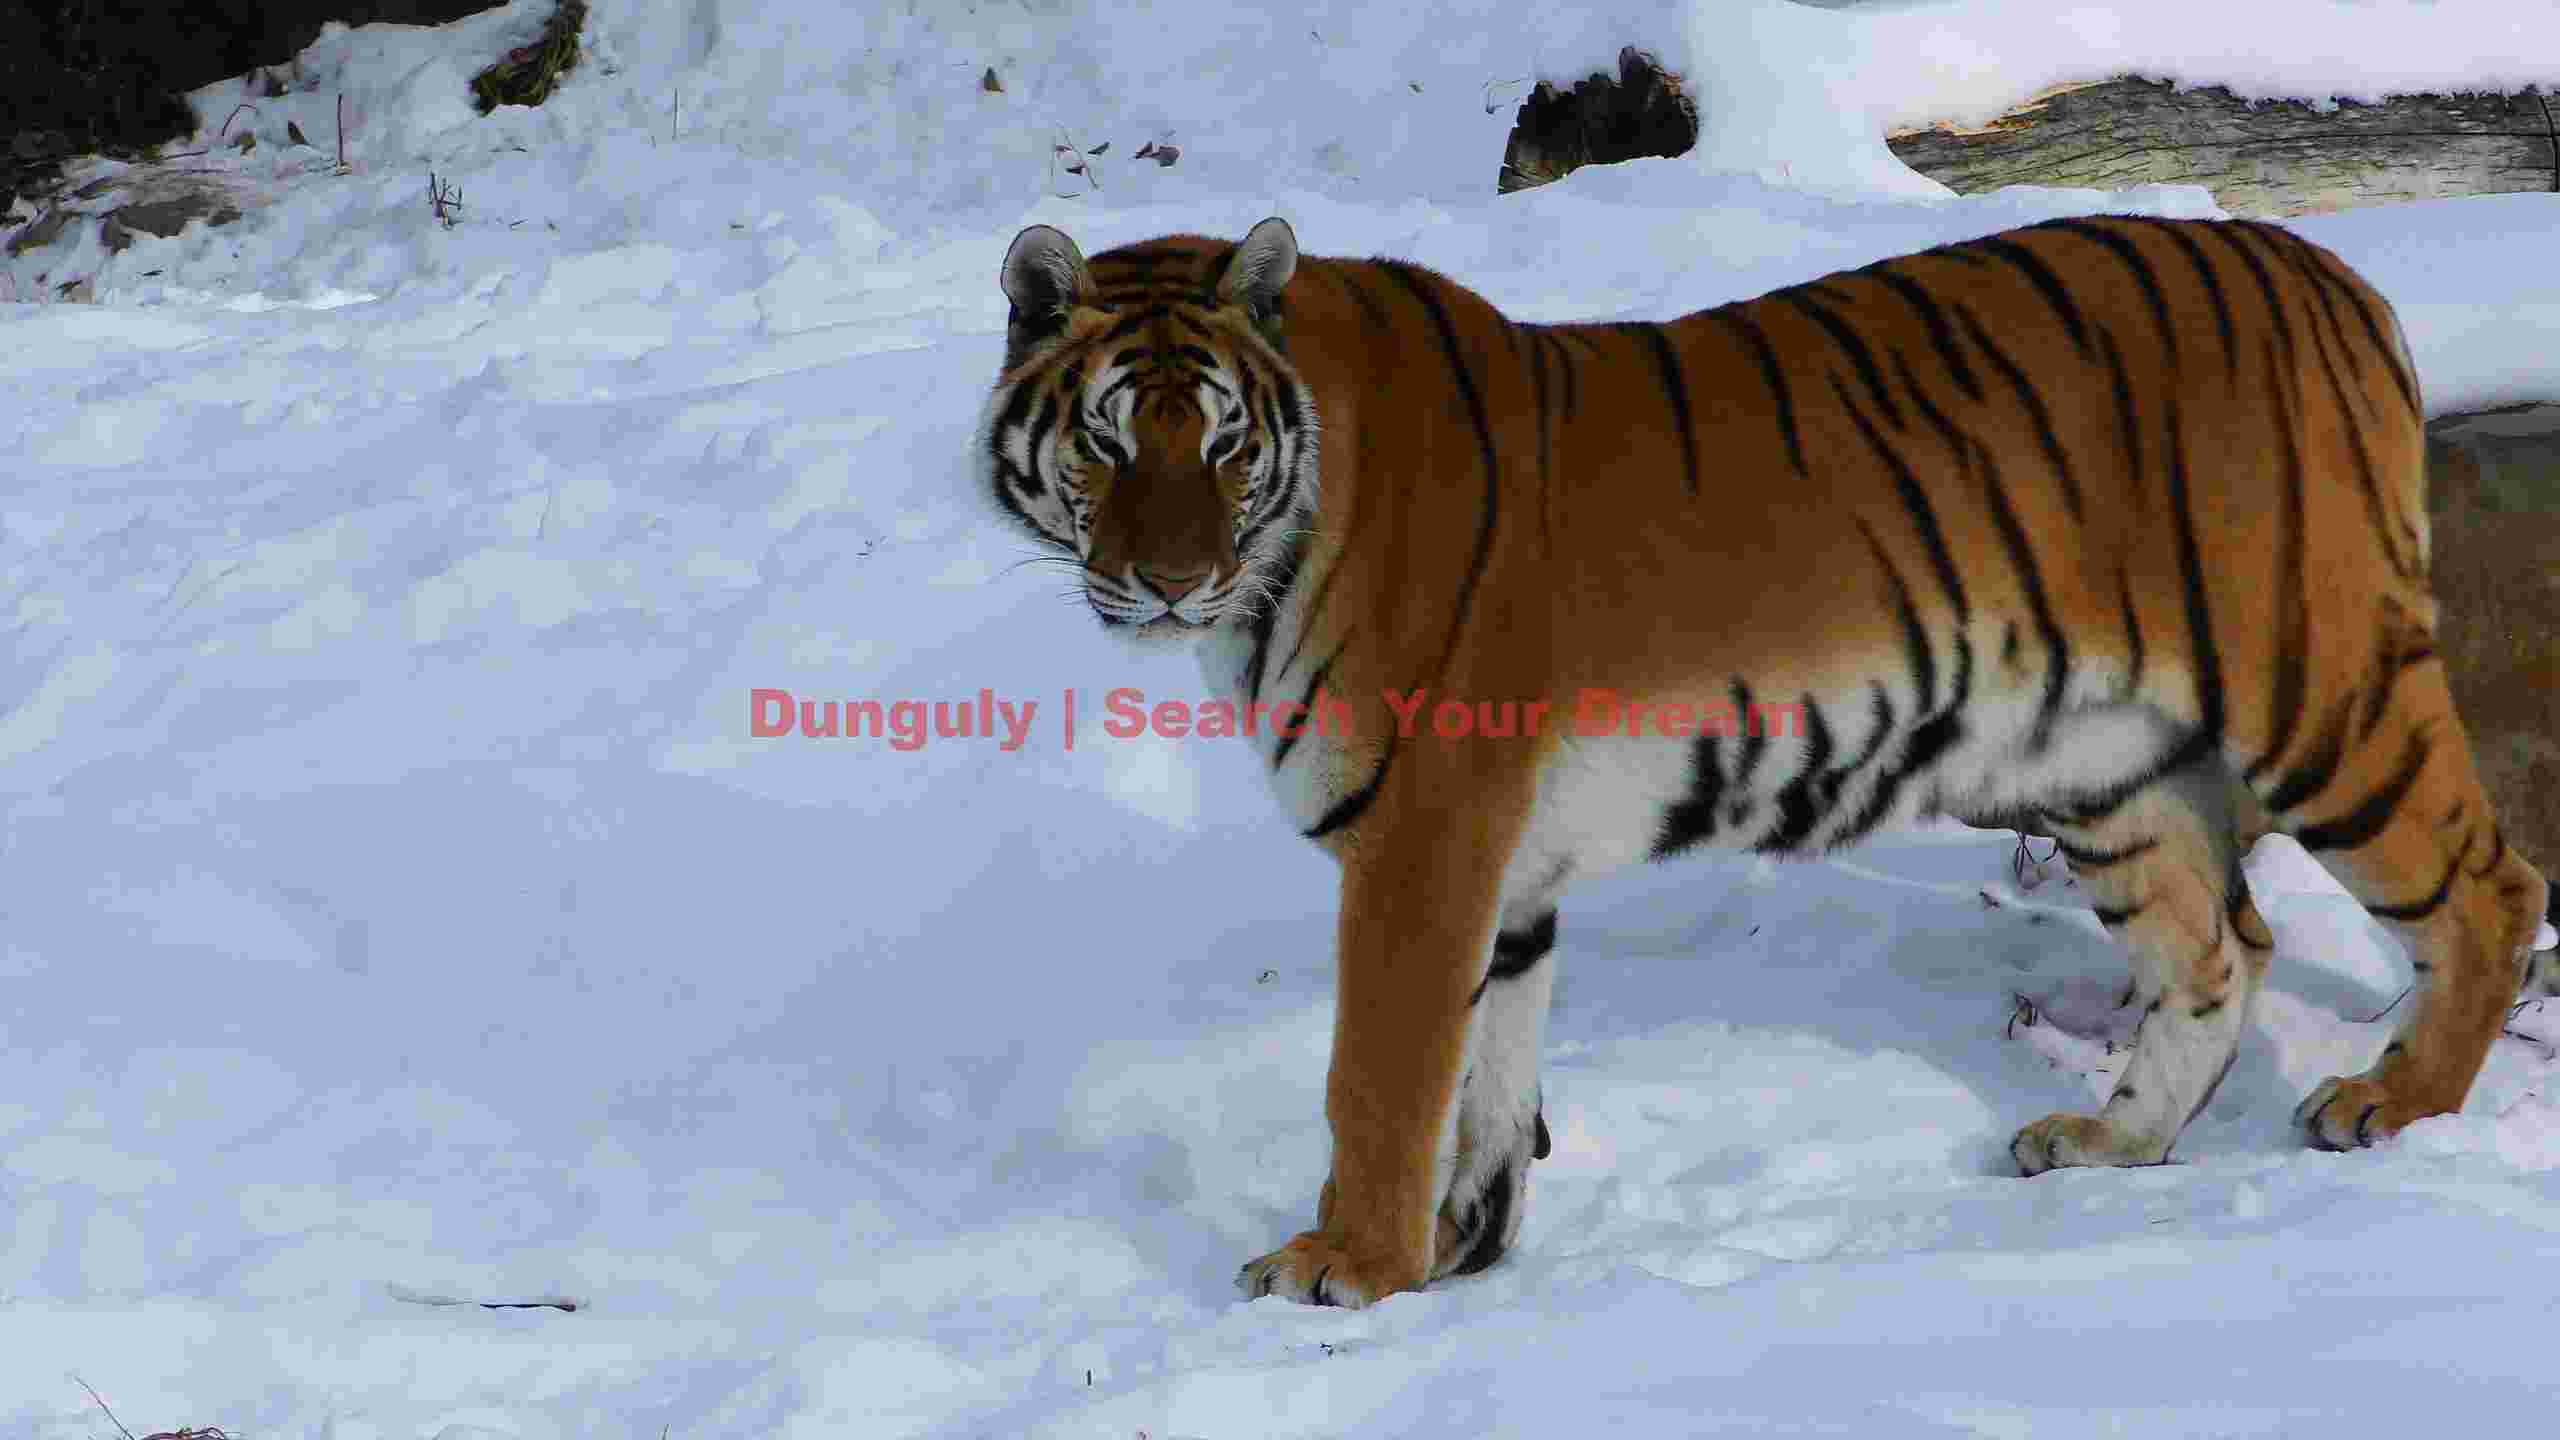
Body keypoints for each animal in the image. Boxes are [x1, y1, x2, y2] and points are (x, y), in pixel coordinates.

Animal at [974, 210, 2554, 1310]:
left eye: (1224, 447)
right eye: (1108, 445)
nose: (1170, 584)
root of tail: (2331, 272)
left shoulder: (1421, 837)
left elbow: (1381, 1072)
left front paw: (1346, 1266)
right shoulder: (1502, 872)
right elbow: (1488, 1076)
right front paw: (1460, 1254)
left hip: (2319, 691)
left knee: (2488, 888)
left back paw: (2390, 1105)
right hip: (2104, 764)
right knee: (2219, 950)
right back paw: (2107, 1147)